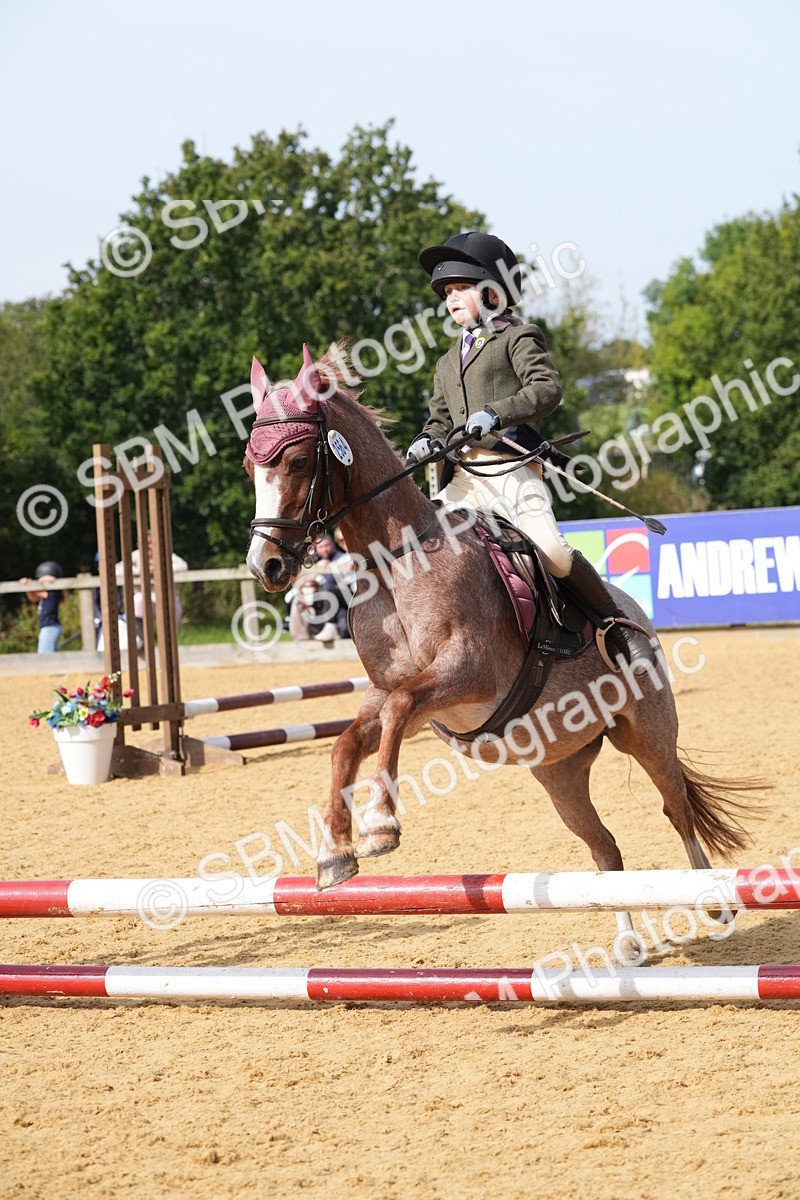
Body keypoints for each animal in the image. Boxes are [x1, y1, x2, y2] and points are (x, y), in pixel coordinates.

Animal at [244, 345, 757, 959]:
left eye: (298, 462)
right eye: (250, 467)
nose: (266, 565)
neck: (396, 563)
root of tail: (634, 610)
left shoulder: (465, 676)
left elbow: (395, 715)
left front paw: (380, 825)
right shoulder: (392, 694)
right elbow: (347, 744)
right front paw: (335, 853)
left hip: (647, 733)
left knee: (675, 807)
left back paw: (714, 901)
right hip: (559, 771)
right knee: (604, 847)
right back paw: (630, 944)